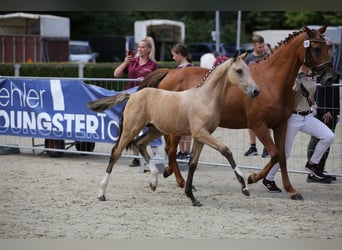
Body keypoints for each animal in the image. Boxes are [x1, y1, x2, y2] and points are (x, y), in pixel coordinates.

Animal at [88, 53, 260, 206]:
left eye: (249, 70)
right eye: (239, 70)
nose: (256, 91)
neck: (205, 98)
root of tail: (133, 96)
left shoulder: (200, 137)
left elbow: (193, 164)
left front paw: (192, 197)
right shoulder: (200, 133)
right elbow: (226, 150)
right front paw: (244, 186)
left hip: (155, 130)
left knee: (140, 144)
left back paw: (154, 182)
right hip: (131, 128)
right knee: (116, 152)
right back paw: (101, 193)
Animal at [138, 25, 334, 200]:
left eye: (328, 47)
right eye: (316, 48)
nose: (330, 78)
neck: (271, 81)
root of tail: (169, 72)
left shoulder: (281, 125)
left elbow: (282, 157)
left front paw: (291, 189)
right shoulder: (258, 125)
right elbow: (275, 154)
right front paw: (253, 178)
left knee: (170, 150)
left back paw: (173, 175)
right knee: (171, 150)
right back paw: (181, 181)